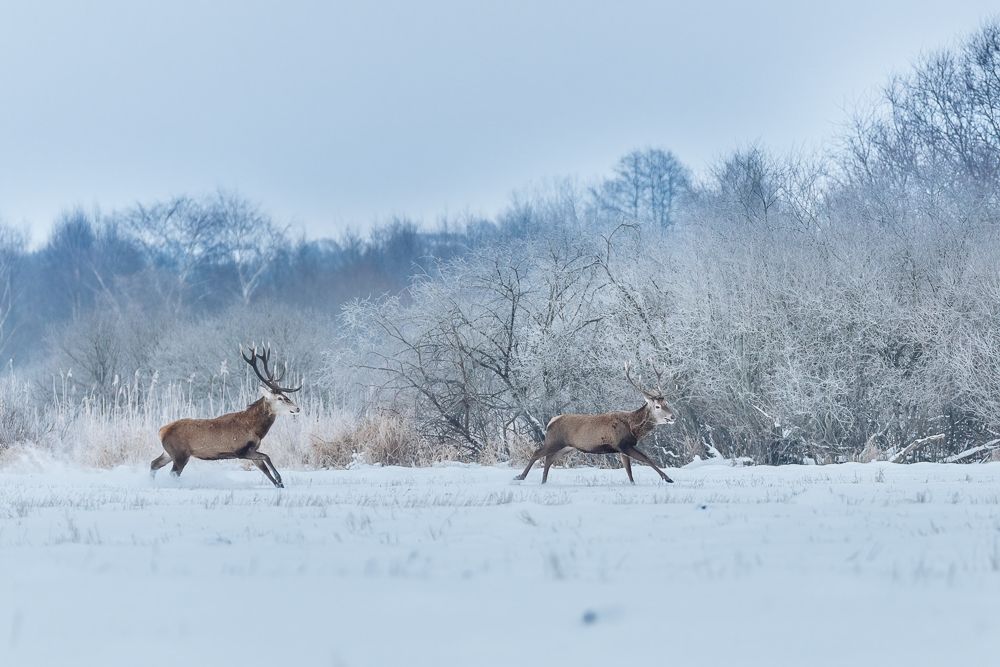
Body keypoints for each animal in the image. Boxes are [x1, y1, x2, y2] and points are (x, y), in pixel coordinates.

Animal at [150, 347, 301, 488]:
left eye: (285, 396)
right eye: (280, 398)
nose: (297, 408)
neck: (256, 430)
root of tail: (161, 431)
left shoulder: (252, 450)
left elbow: (265, 470)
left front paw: (280, 484)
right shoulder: (241, 450)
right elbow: (267, 457)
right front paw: (280, 478)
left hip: (169, 453)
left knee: (154, 463)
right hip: (180, 454)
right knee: (172, 473)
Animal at [515, 361, 676, 484]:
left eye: (667, 402)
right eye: (657, 406)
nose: (673, 416)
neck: (633, 428)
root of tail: (551, 422)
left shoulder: (622, 449)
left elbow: (629, 471)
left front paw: (633, 484)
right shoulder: (622, 444)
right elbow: (646, 459)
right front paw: (668, 478)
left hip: (567, 447)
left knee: (549, 459)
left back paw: (543, 481)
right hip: (554, 441)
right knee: (537, 453)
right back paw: (520, 477)